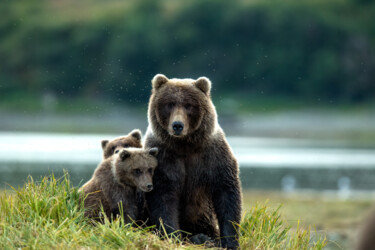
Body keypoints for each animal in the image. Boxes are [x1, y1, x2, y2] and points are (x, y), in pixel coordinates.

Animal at [144, 73, 244, 248]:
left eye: (188, 105)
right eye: (170, 104)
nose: (177, 125)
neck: (185, 146)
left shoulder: (213, 156)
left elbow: (227, 193)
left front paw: (229, 241)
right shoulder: (163, 159)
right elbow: (163, 198)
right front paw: (172, 235)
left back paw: (204, 238)